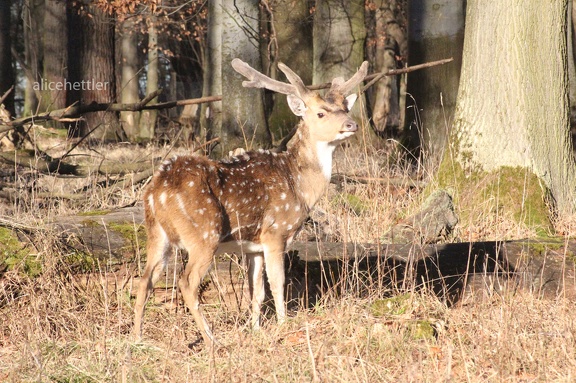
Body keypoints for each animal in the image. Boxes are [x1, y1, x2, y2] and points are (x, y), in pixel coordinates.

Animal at [134, 57, 368, 348]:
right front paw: (283, 325)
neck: (299, 185)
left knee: (144, 280)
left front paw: (255, 329)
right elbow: (277, 283)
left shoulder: (253, 246)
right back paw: (211, 339)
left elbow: (255, 290)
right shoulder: (275, 232)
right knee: (187, 282)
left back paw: (137, 339)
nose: (351, 124)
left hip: (157, 233)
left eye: (345, 107)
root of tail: (157, 190)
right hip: (204, 233)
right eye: (321, 113)